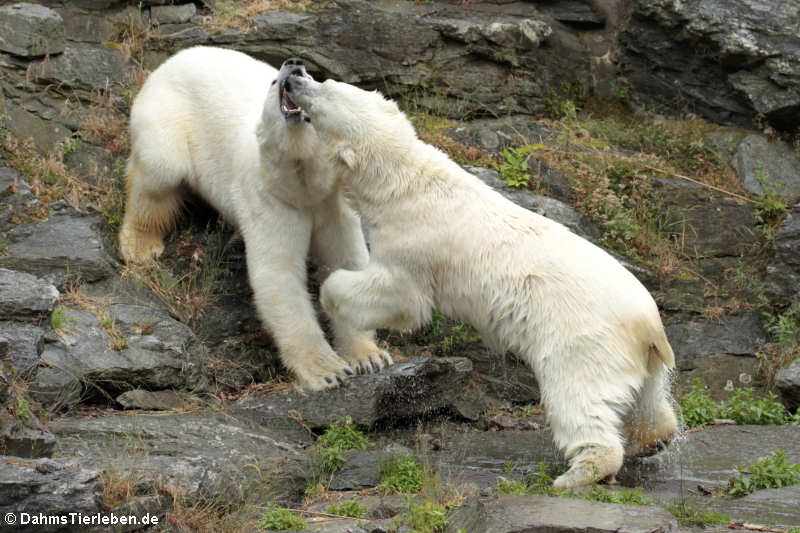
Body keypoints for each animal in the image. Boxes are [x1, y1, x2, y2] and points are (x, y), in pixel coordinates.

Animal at [119, 47, 394, 388]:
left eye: (312, 77)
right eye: (274, 82)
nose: (294, 63)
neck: (303, 183)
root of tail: (173, 58)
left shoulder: (332, 200)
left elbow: (345, 263)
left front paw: (369, 357)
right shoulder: (270, 199)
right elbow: (278, 274)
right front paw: (327, 370)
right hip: (166, 112)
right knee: (159, 169)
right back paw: (140, 244)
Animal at [284, 74, 680, 486]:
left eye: (325, 93)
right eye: (327, 80)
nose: (294, 78)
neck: (405, 182)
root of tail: (650, 326)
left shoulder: (413, 243)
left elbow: (403, 297)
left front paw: (331, 295)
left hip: (584, 339)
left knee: (578, 395)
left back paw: (578, 473)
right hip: (641, 357)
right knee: (648, 398)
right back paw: (651, 439)